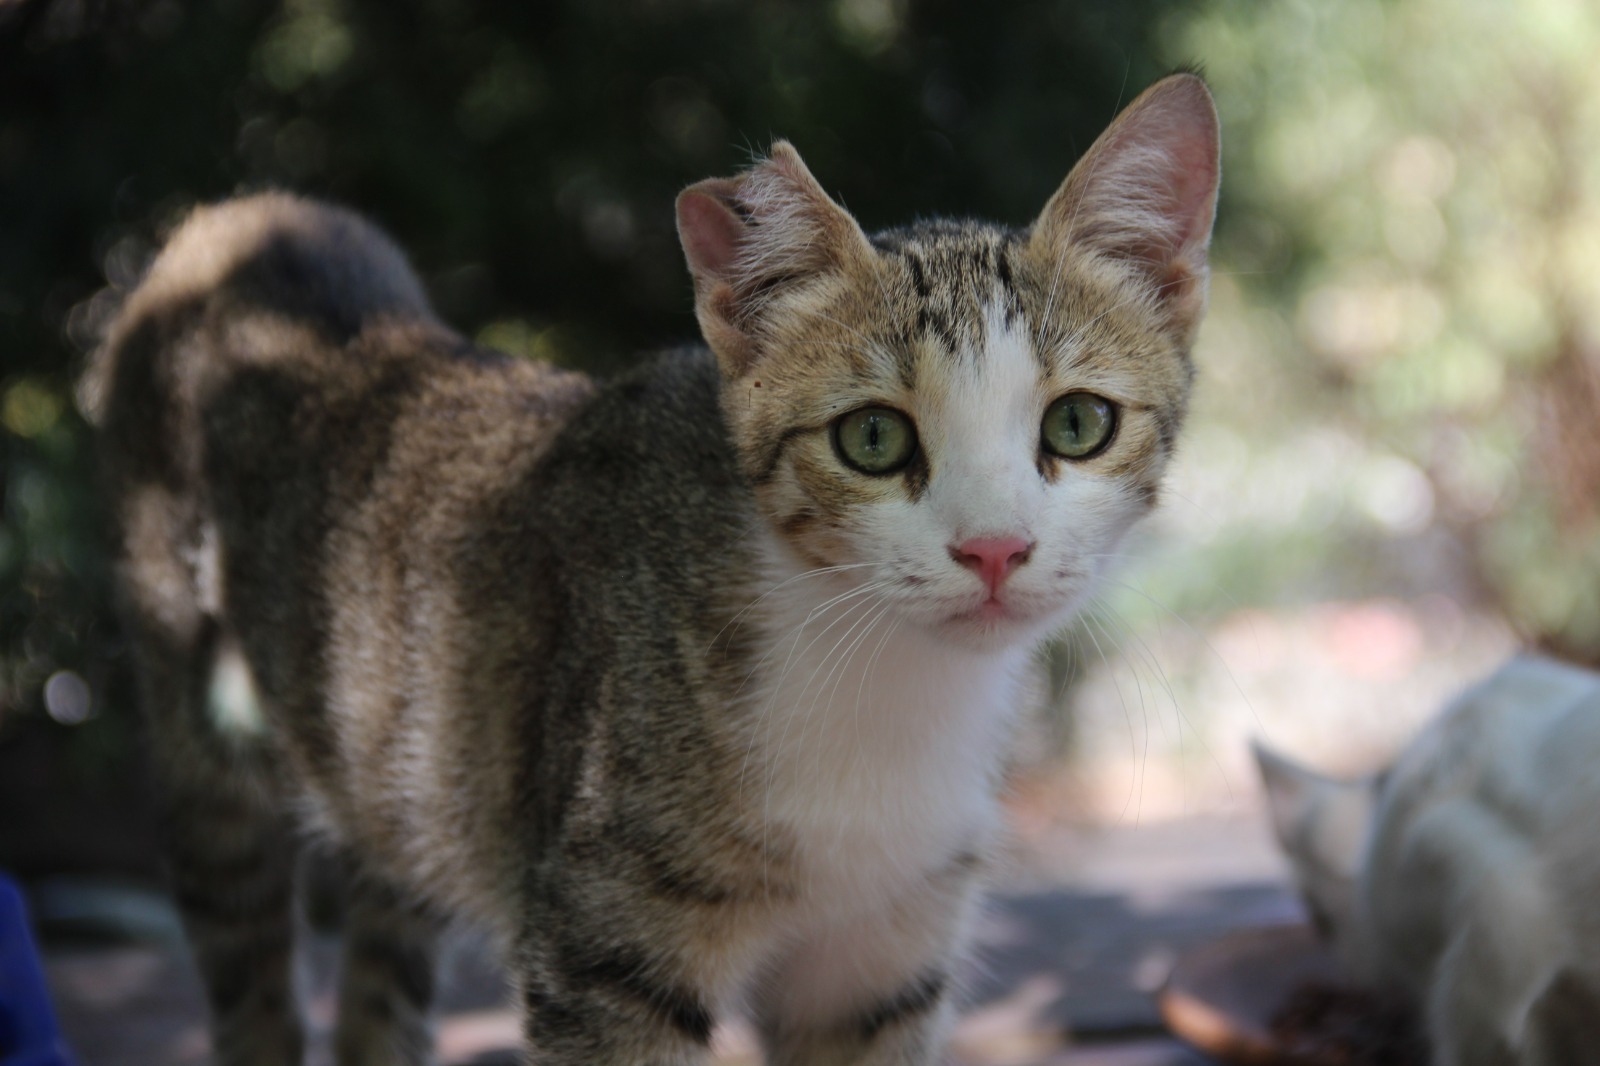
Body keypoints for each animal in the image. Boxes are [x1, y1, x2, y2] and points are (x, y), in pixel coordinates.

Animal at [96, 76, 1222, 1062]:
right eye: (871, 438)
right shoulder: (605, 950)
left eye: (1077, 423)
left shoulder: (880, 959)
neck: (884, 688)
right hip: (206, 749)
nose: (993, 548)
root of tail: (245, 220)